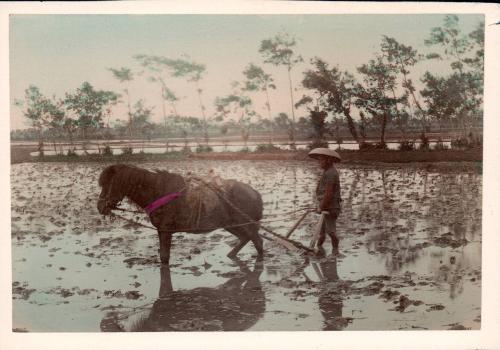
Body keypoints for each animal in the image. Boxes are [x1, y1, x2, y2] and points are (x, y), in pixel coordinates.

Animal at [95, 165, 264, 264]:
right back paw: (231, 256)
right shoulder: (162, 230)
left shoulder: (165, 231)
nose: (100, 207)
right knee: (245, 238)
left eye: (108, 184)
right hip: (231, 225)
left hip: (246, 224)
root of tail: (255, 193)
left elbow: (164, 257)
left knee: (258, 241)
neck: (159, 192)